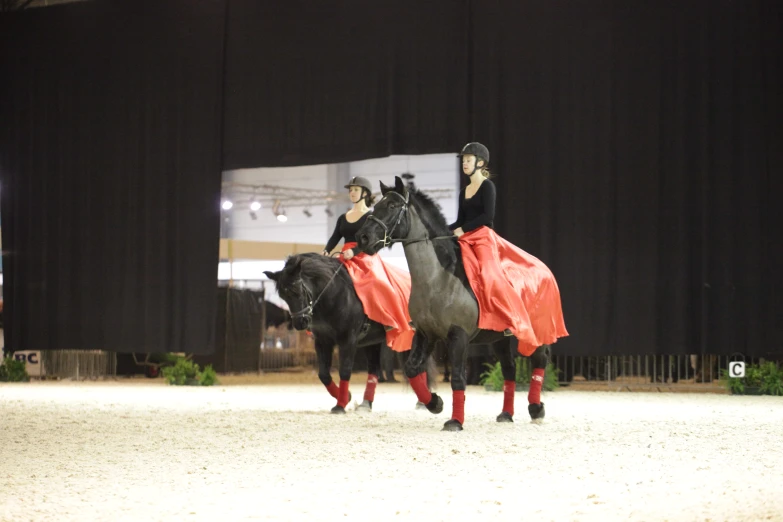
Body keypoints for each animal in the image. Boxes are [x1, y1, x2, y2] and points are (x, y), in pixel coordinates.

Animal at [264, 250, 434, 412]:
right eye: (283, 296)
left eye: (297, 290)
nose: (300, 322)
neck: (334, 295)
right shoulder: (322, 341)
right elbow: (323, 374)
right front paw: (347, 397)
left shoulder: (348, 341)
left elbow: (344, 371)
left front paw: (340, 405)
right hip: (373, 342)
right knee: (374, 370)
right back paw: (366, 404)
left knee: (420, 366)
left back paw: (423, 402)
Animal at [358, 177, 556, 428]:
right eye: (375, 206)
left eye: (392, 206)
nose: (363, 238)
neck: (437, 278)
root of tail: (542, 267)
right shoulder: (426, 334)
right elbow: (412, 370)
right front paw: (435, 403)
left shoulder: (458, 336)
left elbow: (458, 380)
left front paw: (454, 422)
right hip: (499, 338)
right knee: (509, 369)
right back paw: (506, 414)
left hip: (537, 333)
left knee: (539, 361)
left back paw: (536, 409)